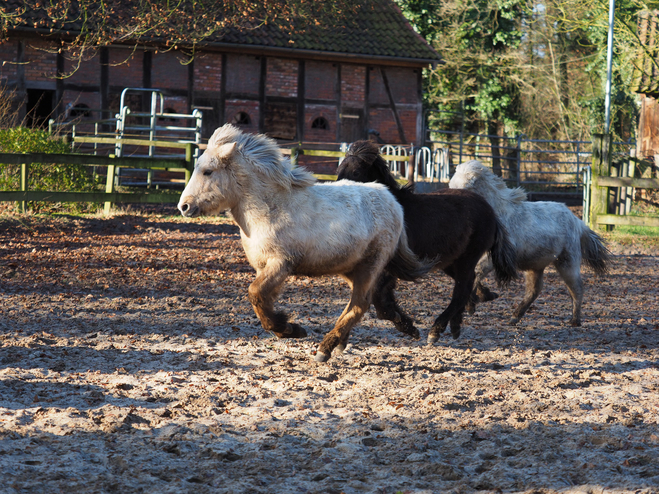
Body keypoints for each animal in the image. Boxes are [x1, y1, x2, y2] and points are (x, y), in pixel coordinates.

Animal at [178, 124, 430, 362]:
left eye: (208, 171)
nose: (184, 206)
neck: (271, 209)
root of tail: (392, 201)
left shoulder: (282, 263)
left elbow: (255, 293)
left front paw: (291, 329)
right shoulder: (264, 268)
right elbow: (262, 300)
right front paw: (287, 327)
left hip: (370, 265)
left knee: (359, 304)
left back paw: (326, 348)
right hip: (351, 268)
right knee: (373, 299)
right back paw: (400, 327)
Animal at [338, 141, 520, 344]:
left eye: (356, 172)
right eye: (339, 169)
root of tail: (491, 212)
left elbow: (380, 298)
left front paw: (408, 326)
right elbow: (381, 298)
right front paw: (406, 324)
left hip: (468, 257)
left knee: (462, 289)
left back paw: (437, 330)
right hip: (450, 261)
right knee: (467, 284)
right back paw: (457, 324)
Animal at [448, 160, 612, 326]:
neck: (498, 214)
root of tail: (578, 222)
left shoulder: (493, 257)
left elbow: (476, 272)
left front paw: (472, 305)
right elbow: (471, 274)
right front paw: (485, 296)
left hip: (567, 264)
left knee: (576, 289)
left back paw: (574, 320)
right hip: (535, 266)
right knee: (534, 290)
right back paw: (515, 316)